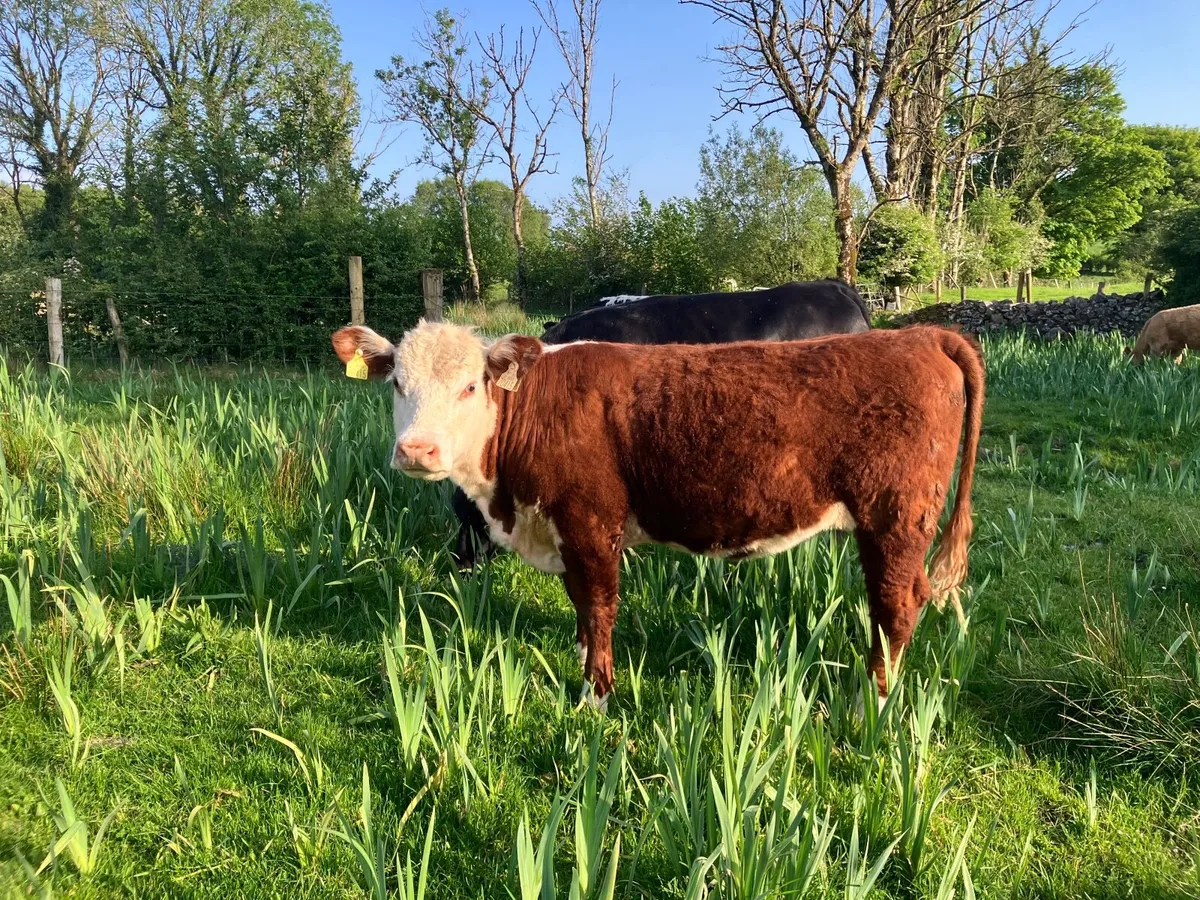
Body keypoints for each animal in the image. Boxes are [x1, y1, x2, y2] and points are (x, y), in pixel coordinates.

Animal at [331, 321, 984, 708]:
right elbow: (580, 606)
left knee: (896, 604)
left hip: (895, 518)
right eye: (397, 384)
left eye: (470, 386)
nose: (418, 451)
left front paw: (596, 696)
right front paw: (580, 664)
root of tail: (922, 334)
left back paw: (869, 703)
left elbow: (599, 606)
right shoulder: (565, 532)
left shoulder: (591, 523)